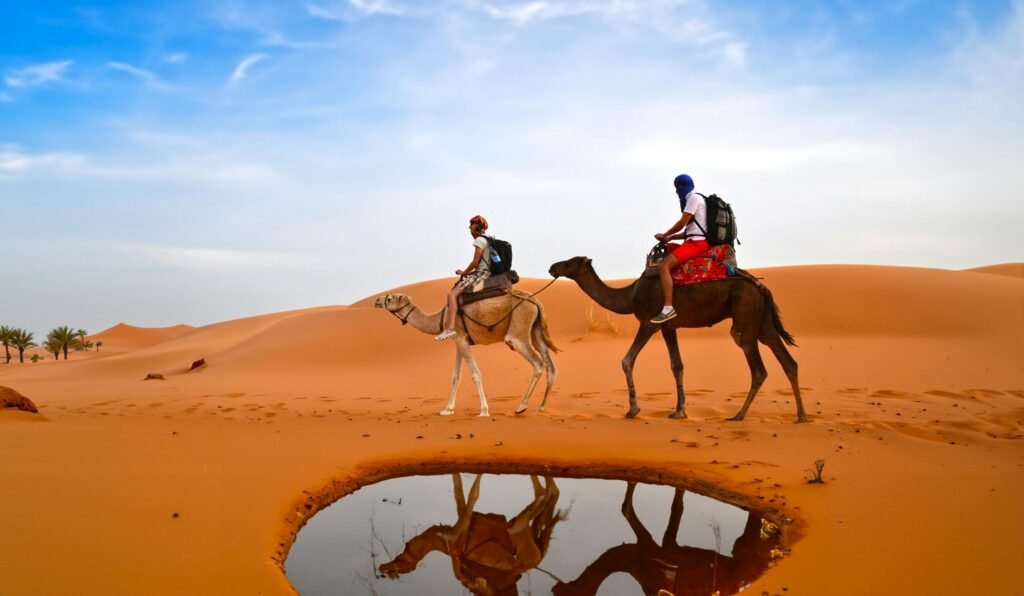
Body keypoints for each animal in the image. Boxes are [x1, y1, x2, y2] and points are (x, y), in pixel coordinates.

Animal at [374, 290, 557, 415]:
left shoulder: (461, 338)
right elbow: (455, 376)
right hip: (536, 330)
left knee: (537, 362)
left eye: (389, 298)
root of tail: (534, 301)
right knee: (550, 365)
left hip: (518, 330)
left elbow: (475, 374)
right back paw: (542, 406)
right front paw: (447, 409)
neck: (440, 318)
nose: (376, 300)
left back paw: (521, 406)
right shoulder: (458, 341)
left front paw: (484, 410)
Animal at [378, 477, 569, 596]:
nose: (382, 568)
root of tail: (538, 558)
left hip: (520, 535)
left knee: (543, 493)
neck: (444, 543)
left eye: (397, 568)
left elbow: (471, 493)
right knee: (548, 492)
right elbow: (460, 491)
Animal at [548, 259, 802, 421]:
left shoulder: (648, 322)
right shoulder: (668, 326)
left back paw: (739, 415)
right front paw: (679, 411)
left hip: (745, 319)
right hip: (763, 323)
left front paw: (633, 409)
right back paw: (801, 416)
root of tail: (762, 287)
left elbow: (627, 360)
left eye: (570, 262)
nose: (552, 267)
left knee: (758, 367)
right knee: (787, 360)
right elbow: (677, 365)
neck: (629, 295)